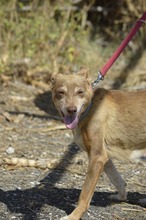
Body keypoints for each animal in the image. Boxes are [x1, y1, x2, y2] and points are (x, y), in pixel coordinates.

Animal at [50, 66, 146, 219]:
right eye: (61, 92)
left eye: (80, 92)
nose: (71, 110)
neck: (90, 108)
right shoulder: (104, 156)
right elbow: (117, 180)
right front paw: (122, 197)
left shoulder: (97, 157)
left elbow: (84, 195)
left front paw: (74, 216)